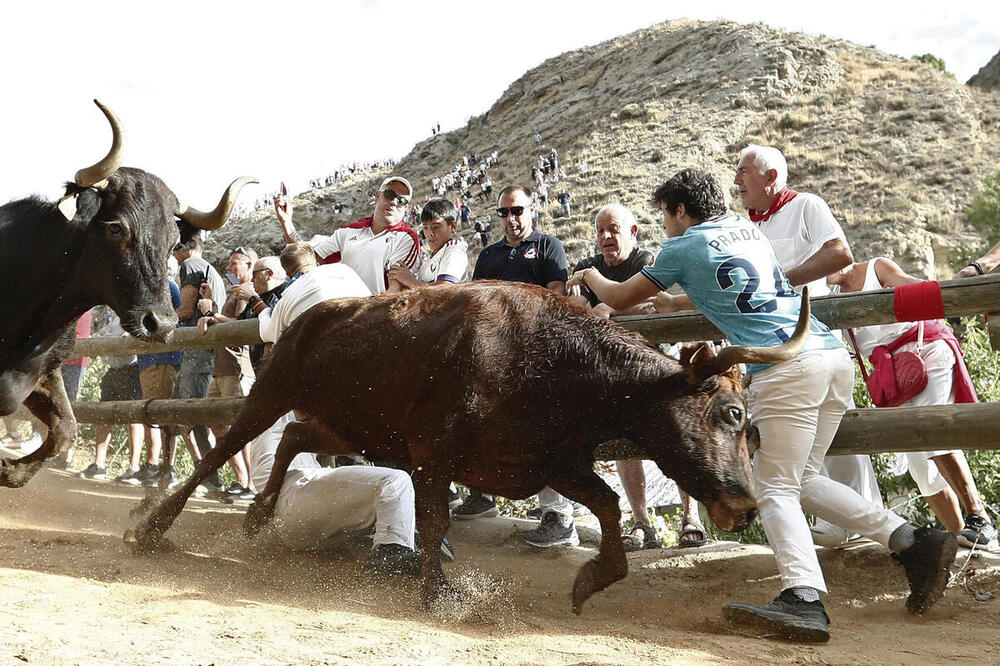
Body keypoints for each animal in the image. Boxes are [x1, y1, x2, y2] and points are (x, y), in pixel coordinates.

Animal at [0, 102, 256, 488]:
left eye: (172, 241)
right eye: (117, 227)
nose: (160, 323)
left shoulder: (44, 374)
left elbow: (67, 429)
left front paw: (9, 469)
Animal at [127, 280, 812, 612]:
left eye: (752, 426)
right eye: (730, 413)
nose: (742, 504)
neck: (558, 367)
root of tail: (307, 315)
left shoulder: (547, 463)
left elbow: (609, 506)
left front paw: (590, 581)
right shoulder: (435, 455)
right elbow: (432, 523)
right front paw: (437, 593)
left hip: (350, 425)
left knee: (294, 438)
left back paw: (259, 515)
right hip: (271, 393)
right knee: (220, 451)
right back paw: (153, 529)